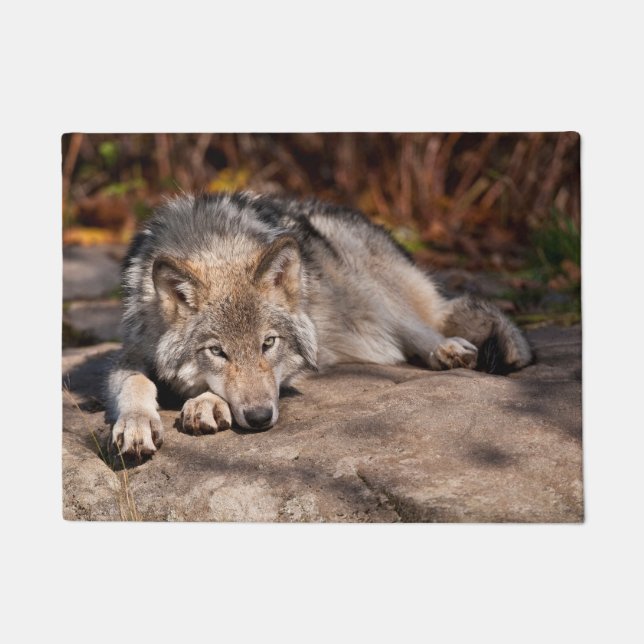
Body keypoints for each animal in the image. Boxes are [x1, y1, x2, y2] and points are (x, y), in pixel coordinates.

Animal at [108, 192, 532, 459]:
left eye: (268, 343)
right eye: (217, 351)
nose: (260, 419)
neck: (215, 244)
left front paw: (206, 403)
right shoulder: (129, 351)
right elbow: (135, 382)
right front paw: (136, 423)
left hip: (368, 291)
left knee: (425, 324)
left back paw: (447, 349)